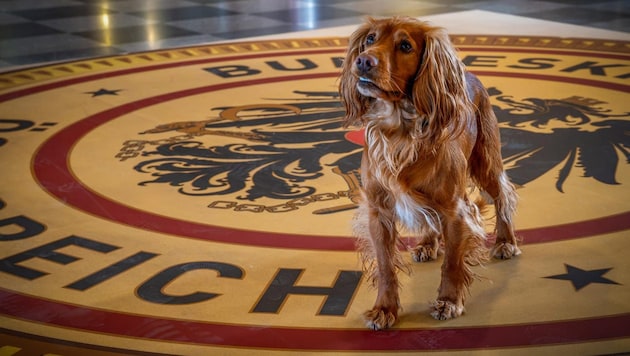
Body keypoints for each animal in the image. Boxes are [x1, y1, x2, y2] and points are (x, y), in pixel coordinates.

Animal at [340, 15, 524, 330]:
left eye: (405, 46)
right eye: (370, 39)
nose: (363, 61)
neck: (400, 130)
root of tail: (468, 74)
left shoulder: (455, 210)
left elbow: (452, 262)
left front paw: (449, 301)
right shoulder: (379, 211)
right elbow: (386, 266)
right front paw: (384, 309)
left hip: (485, 162)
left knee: (503, 195)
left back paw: (505, 241)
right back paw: (427, 243)